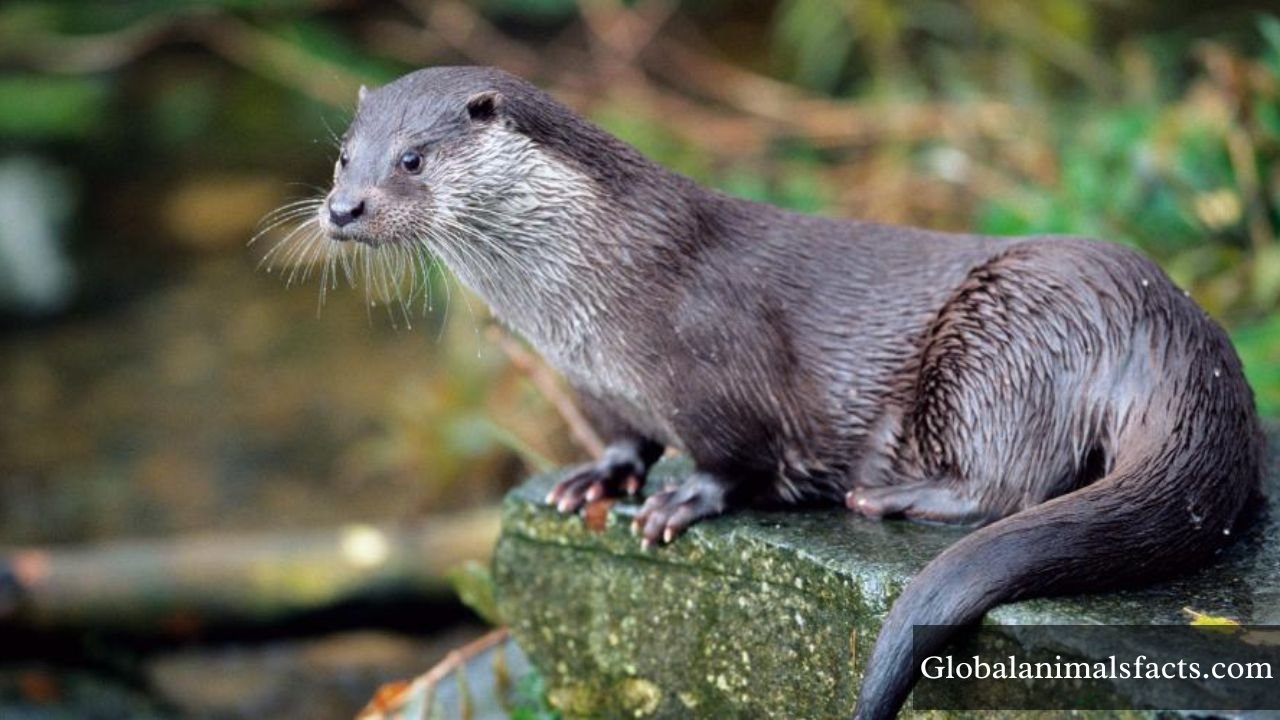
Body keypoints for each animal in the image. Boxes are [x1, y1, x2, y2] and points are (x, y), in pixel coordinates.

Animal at [278, 66, 1264, 719]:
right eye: (342, 157)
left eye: (412, 158)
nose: (344, 209)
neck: (588, 299)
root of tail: (1176, 332)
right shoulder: (593, 385)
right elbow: (624, 437)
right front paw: (598, 477)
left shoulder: (713, 367)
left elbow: (737, 457)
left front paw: (682, 501)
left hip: (1007, 335)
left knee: (1015, 481)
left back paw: (891, 497)